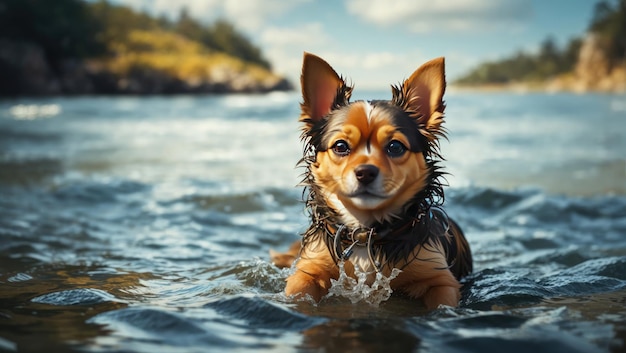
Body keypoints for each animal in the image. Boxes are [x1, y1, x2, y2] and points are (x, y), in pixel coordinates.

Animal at [270, 52, 470, 308]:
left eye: (395, 147)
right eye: (340, 146)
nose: (365, 172)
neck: (365, 234)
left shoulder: (439, 278)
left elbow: (442, 300)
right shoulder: (309, 268)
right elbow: (299, 290)